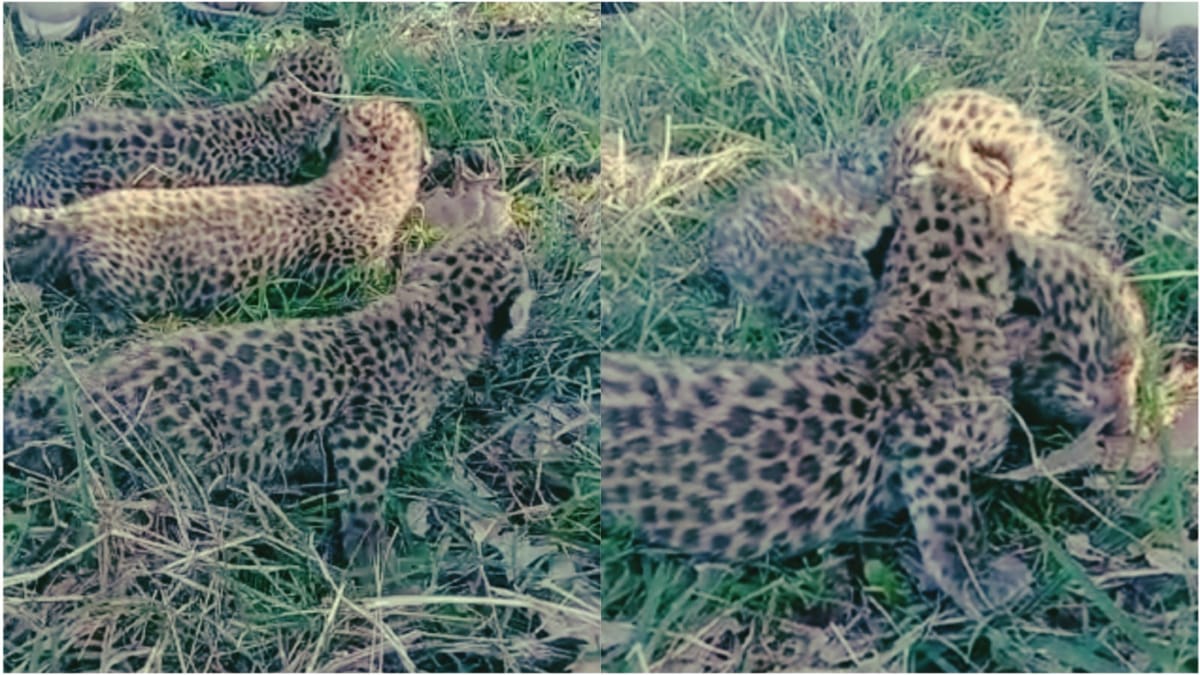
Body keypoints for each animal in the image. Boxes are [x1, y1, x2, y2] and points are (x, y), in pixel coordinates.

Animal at [4, 213, 535, 563]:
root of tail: (83, 397)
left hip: (78, 372)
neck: (428, 314)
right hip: (189, 449)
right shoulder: (360, 438)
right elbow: (364, 503)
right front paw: (373, 566)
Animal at [5, 98, 424, 331]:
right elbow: (373, 282)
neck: (362, 181)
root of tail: (76, 217)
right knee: (91, 286)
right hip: (142, 283)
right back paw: (111, 317)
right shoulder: (346, 275)